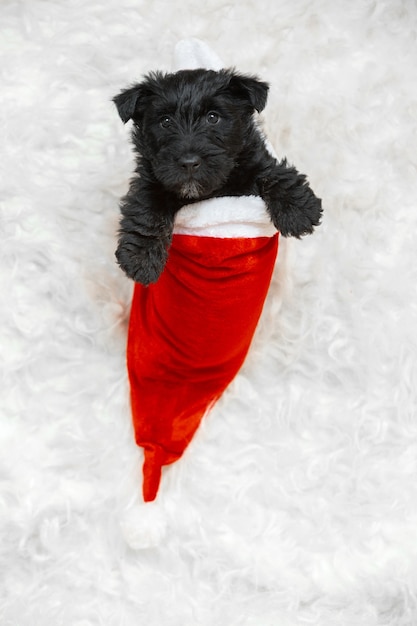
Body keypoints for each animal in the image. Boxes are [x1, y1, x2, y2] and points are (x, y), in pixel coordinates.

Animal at [112, 67, 320, 282]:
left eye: (213, 117)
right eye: (165, 121)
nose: (189, 163)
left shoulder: (254, 161)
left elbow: (273, 173)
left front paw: (298, 212)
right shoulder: (151, 179)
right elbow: (146, 209)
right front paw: (141, 258)